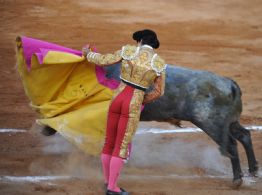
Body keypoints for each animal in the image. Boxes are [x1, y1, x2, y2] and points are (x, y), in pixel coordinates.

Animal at [104, 63, 258, 187]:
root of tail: (230, 83)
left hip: (212, 124)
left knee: (231, 145)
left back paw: (237, 179)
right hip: (230, 122)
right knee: (244, 135)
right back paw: (253, 170)